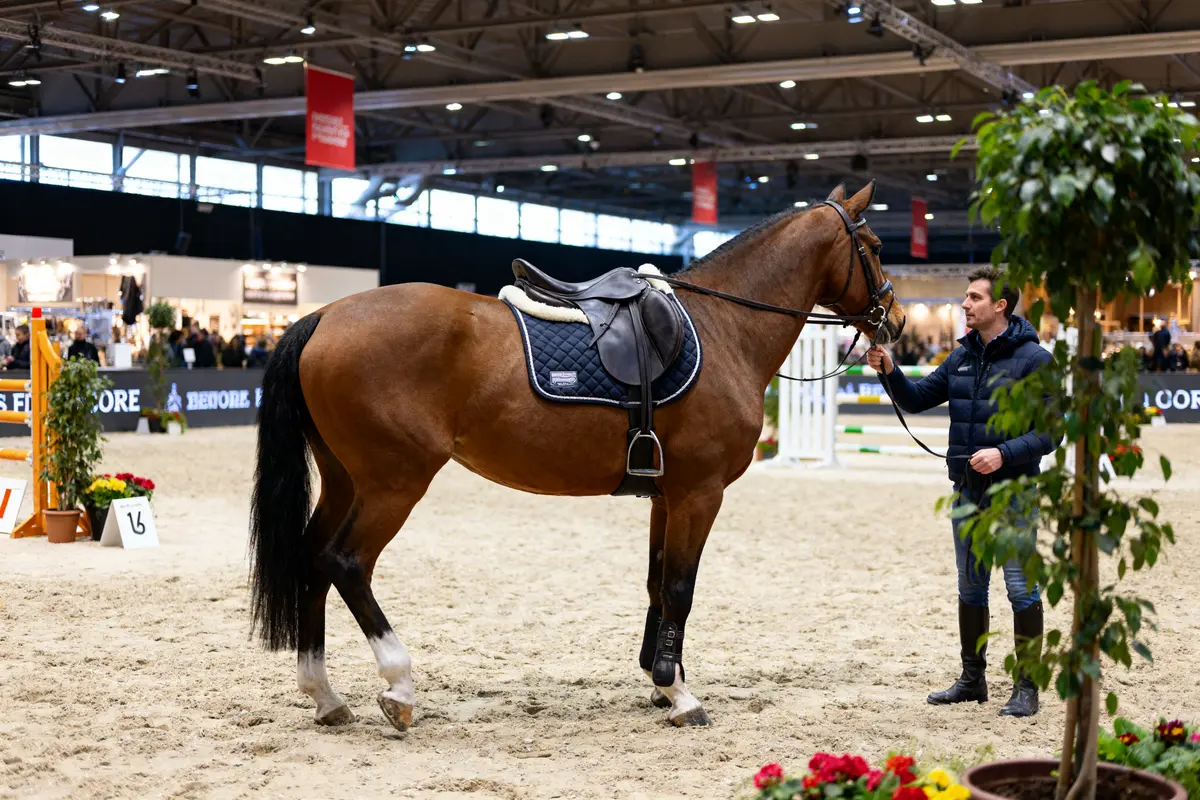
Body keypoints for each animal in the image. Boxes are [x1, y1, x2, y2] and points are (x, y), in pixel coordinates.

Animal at [248, 181, 907, 731]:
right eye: (873, 246)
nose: (896, 319)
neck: (724, 328)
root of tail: (323, 315)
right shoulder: (700, 493)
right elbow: (681, 588)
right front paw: (681, 695)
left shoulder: (666, 496)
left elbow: (657, 584)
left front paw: (659, 680)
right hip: (394, 483)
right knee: (345, 563)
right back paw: (400, 686)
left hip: (345, 479)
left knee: (311, 560)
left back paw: (326, 696)